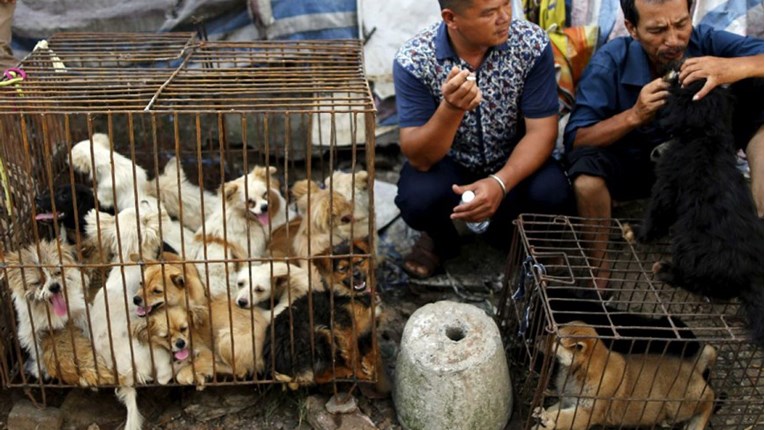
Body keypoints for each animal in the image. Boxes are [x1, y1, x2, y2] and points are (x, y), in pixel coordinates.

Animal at [532, 322, 716, 430]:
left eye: (556, 340)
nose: (536, 338)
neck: (577, 373)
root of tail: (693, 366)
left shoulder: (589, 412)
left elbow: (562, 417)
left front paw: (547, 419)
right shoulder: (568, 400)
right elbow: (554, 409)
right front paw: (542, 418)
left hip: (681, 405)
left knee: (710, 399)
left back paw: (696, 425)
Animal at [640, 74, 764, 342]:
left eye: (682, 84)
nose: (674, 71)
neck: (707, 134)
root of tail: (751, 275)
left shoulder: (668, 181)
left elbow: (657, 211)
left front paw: (640, 234)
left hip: (690, 248)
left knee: (694, 280)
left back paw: (665, 270)